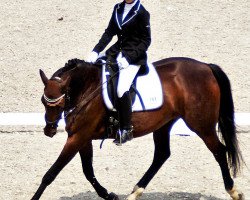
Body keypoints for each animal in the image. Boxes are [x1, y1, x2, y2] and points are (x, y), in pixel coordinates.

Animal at [31, 57, 244, 199]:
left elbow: (51, 173)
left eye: (59, 103)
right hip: (164, 123)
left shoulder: (78, 136)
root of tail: (207, 67)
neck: (88, 88)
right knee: (161, 154)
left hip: (201, 125)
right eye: (42, 101)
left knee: (219, 151)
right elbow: (87, 171)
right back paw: (135, 192)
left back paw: (233, 191)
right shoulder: (82, 138)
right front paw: (108, 194)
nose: (49, 130)